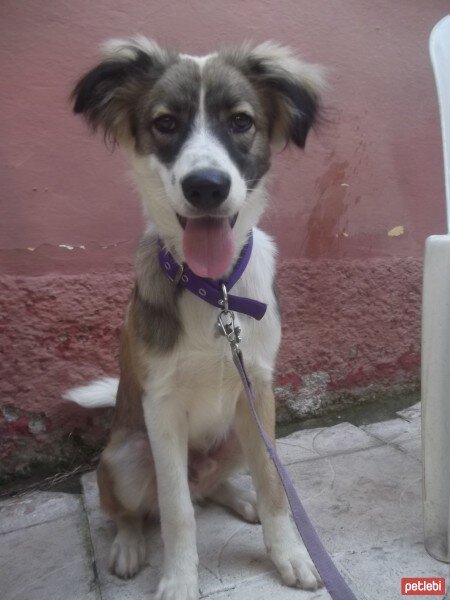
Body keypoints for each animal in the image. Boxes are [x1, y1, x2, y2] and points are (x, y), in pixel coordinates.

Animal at [66, 38, 324, 600]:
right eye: (165, 123)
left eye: (241, 121)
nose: (206, 186)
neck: (216, 291)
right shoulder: (161, 409)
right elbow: (175, 511)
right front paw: (180, 579)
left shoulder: (260, 391)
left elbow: (274, 486)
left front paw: (290, 554)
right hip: (124, 457)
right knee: (137, 509)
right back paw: (129, 546)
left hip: (237, 433)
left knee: (213, 486)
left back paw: (239, 499)